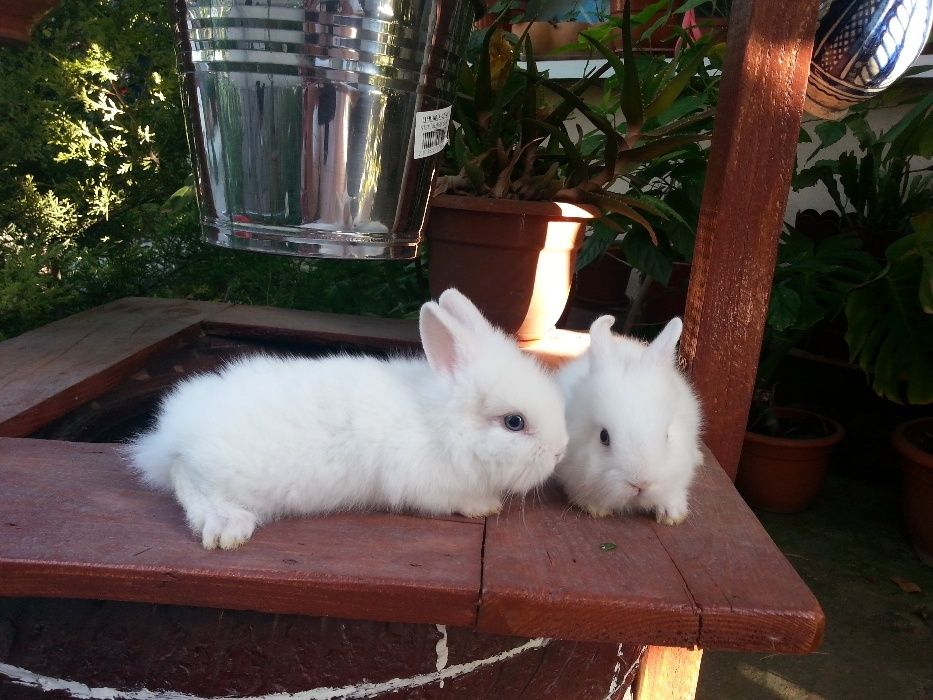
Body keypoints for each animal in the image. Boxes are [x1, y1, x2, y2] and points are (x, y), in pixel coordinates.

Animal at [125, 288, 568, 548]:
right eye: (514, 422)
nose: (560, 453)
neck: (440, 421)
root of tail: (174, 428)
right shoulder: (425, 482)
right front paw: (484, 507)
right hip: (223, 475)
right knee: (187, 480)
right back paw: (227, 528)